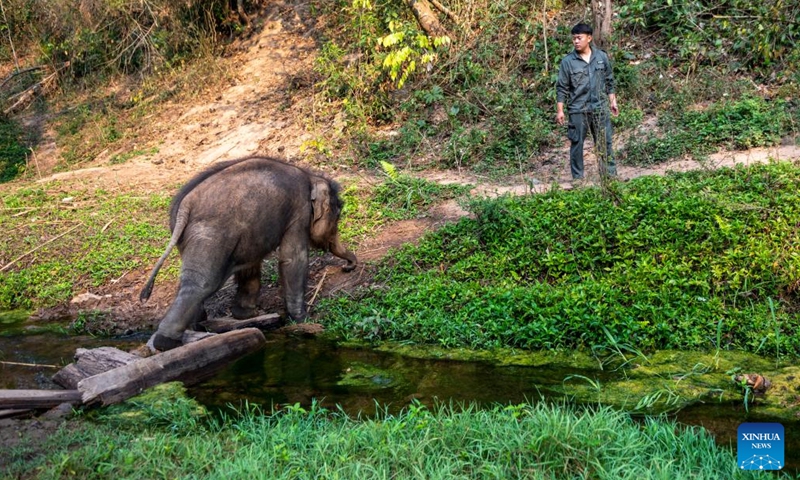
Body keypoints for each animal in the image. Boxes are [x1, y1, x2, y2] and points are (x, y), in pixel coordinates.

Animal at [140, 156, 357, 351]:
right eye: (337, 216)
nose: (348, 267)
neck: (311, 176)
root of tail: (186, 204)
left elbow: (251, 265)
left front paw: (246, 315)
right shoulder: (299, 212)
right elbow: (293, 259)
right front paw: (302, 319)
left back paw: (196, 326)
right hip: (209, 236)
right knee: (201, 283)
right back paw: (167, 343)